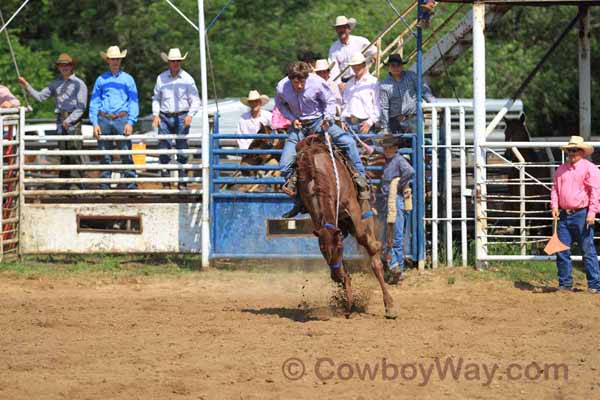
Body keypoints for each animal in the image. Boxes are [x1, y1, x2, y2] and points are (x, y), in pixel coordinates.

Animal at [296, 134, 398, 318]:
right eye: (322, 250)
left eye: (339, 248)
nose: (335, 276)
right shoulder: (316, 217)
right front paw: (346, 290)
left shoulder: (353, 208)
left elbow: (364, 240)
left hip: (365, 213)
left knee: (373, 253)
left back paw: (388, 303)